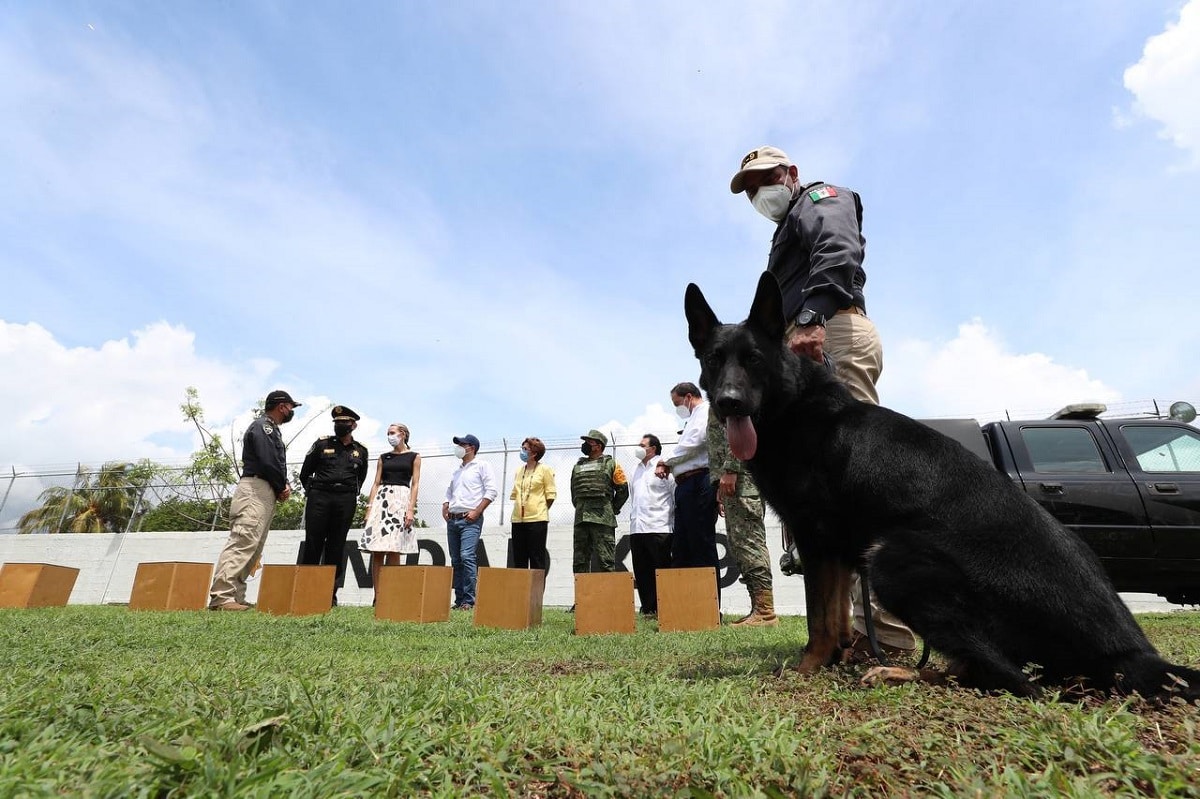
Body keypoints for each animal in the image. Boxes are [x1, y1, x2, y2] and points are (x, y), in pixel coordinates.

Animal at [686, 268, 1200, 695]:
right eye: (714, 360)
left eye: (753, 359)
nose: (728, 403)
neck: (791, 404)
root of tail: (1131, 651)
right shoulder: (838, 552)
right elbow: (837, 616)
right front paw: (835, 659)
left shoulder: (819, 542)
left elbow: (820, 620)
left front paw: (807, 668)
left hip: (891, 556)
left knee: (1007, 678)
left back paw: (897, 673)